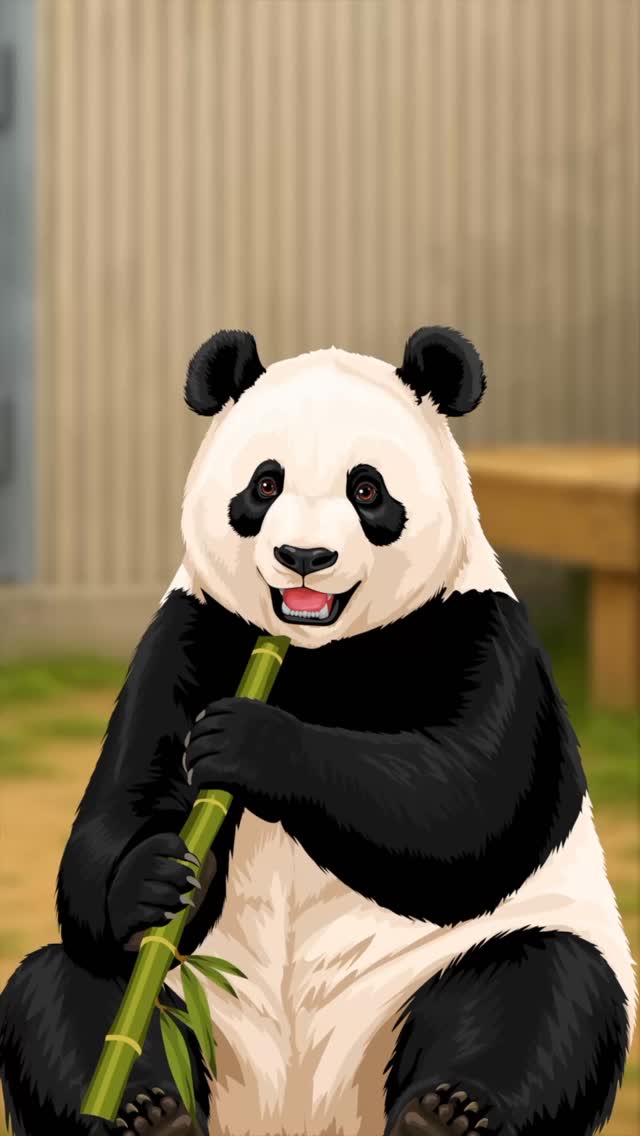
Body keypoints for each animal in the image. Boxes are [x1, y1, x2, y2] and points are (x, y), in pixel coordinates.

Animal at [0, 327, 636, 1136]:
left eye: (367, 490)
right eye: (264, 485)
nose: (304, 559)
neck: (310, 655)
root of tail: (299, 1117)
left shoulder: (480, 634)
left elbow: (468, 811)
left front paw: (248, 742)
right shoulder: (191, 635)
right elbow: (109, 825)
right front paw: (161, 878)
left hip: (434, 983)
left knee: (544, 987)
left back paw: (449, 1112)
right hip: (196, 1011)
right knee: (66, 988)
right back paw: (143, 1109)